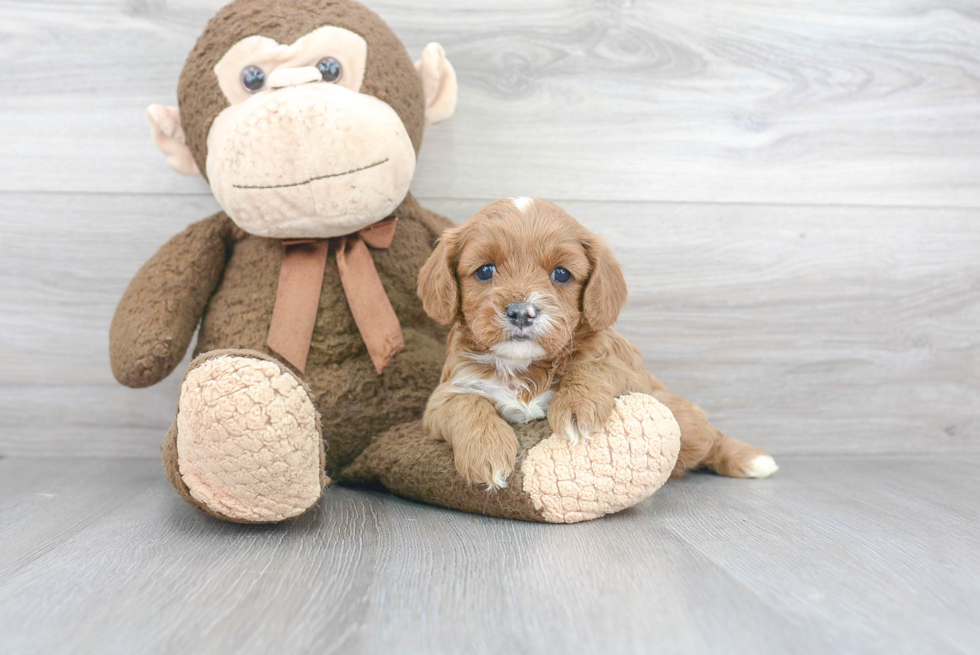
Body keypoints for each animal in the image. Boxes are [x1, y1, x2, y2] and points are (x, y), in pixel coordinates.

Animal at [418, 197, 776, 490]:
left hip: (680, 418)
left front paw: (577, 407)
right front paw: (486, 450)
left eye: (561, 274)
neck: (525, 367)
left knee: (711, 439)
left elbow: (592, 367)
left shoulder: (632, 376)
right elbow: (467, 404)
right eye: (485, 271)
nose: (521, 312)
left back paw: (752, 460)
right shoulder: (444, 396)